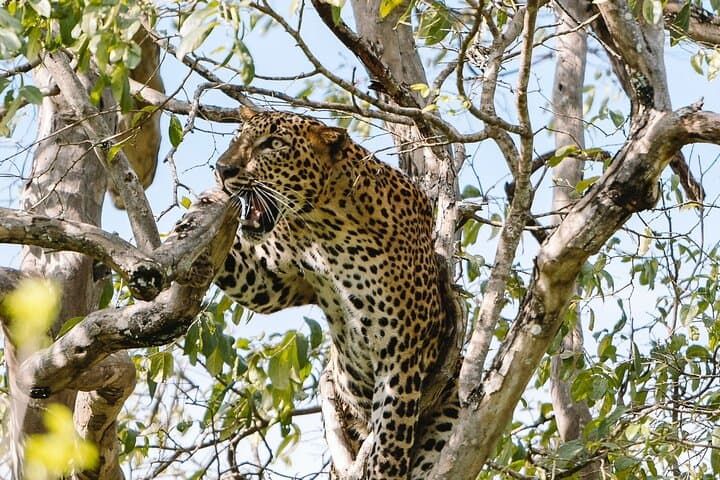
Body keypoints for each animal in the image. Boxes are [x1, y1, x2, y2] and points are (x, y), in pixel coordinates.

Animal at [214, 108, 460, 479]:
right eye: (235, 139)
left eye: (273, 144)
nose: (222, 168)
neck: (326, 224)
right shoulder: (271, 281)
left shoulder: (401, 356)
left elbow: (390, 442)